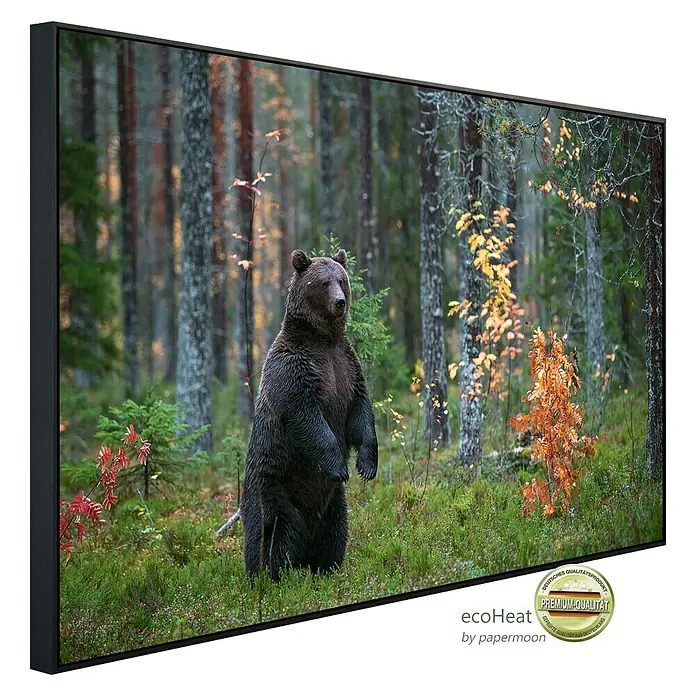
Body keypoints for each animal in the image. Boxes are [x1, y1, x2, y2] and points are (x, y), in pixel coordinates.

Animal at [240, 248, 378, 581]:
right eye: (323, 283)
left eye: (342, 280)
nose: (340, 302)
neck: (323, 339)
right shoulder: (295, 372)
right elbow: (308, 419)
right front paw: (340, 466)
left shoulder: (347, 367)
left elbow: (360, 412)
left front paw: (366, 465)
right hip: (274, 488)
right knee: (273, 534)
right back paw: (269, 575)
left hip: (333, 503)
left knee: (334, 531)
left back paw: (326, 568)